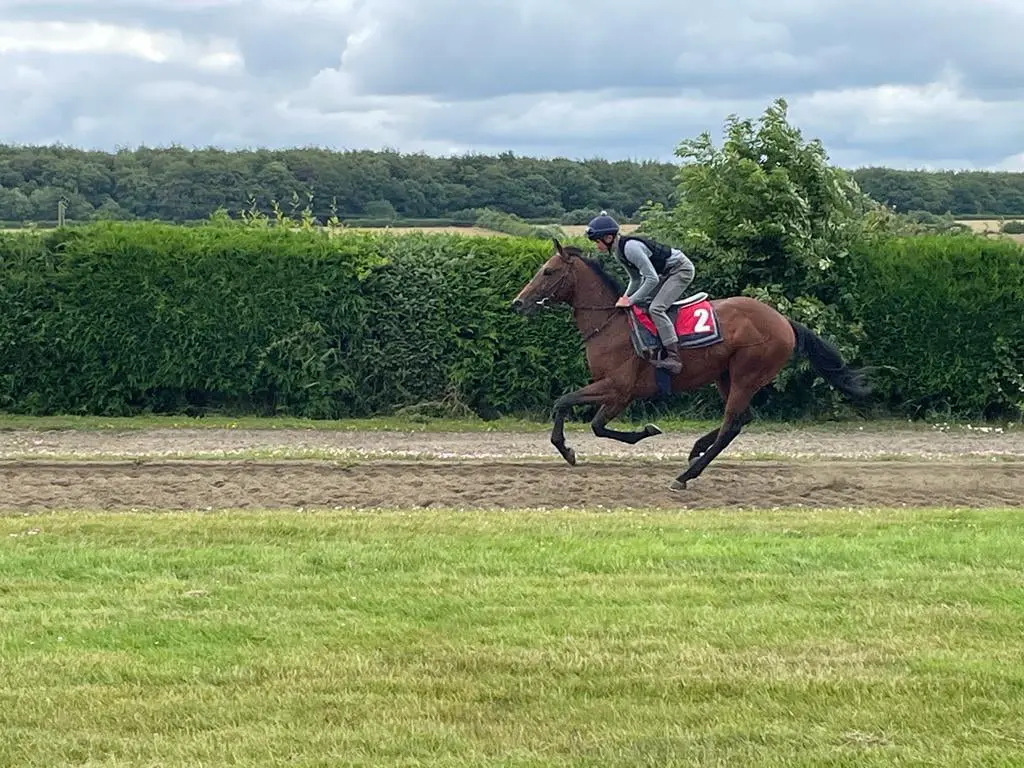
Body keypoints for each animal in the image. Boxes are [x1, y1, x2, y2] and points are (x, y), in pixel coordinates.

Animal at [507, 240, 868, 493]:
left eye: (548, 271)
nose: (517, 303)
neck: (610, 325)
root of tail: (783, 321)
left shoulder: (619, 389)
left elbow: (577, 411)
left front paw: (640, 433)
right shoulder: (614, 391)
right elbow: (577, 412)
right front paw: (569, 449)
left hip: (747, 373)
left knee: (731, 424)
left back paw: (685, 475)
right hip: (726, 375)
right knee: (741, 419)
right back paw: (695, 451)